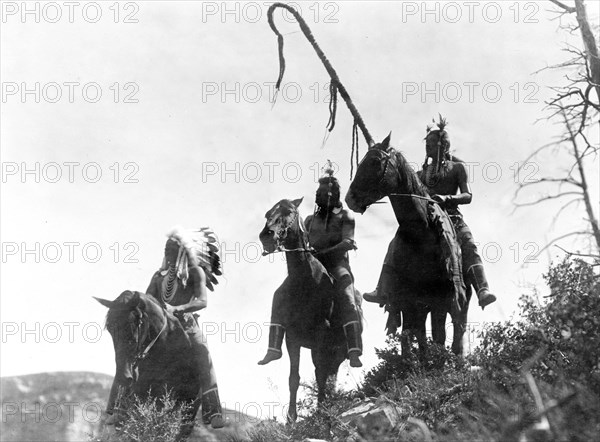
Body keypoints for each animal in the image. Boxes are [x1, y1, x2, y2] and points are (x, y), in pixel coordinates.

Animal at [258, 198, 360, 422]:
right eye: (268, 213)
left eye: (289, 211)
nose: (266, 235)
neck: (305, 282)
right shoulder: (292, 339)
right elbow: (293, 378)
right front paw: (291, 419)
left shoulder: (321, 335)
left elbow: (320, 375)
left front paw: (321, 412)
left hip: (337, 351)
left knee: (328, 375)